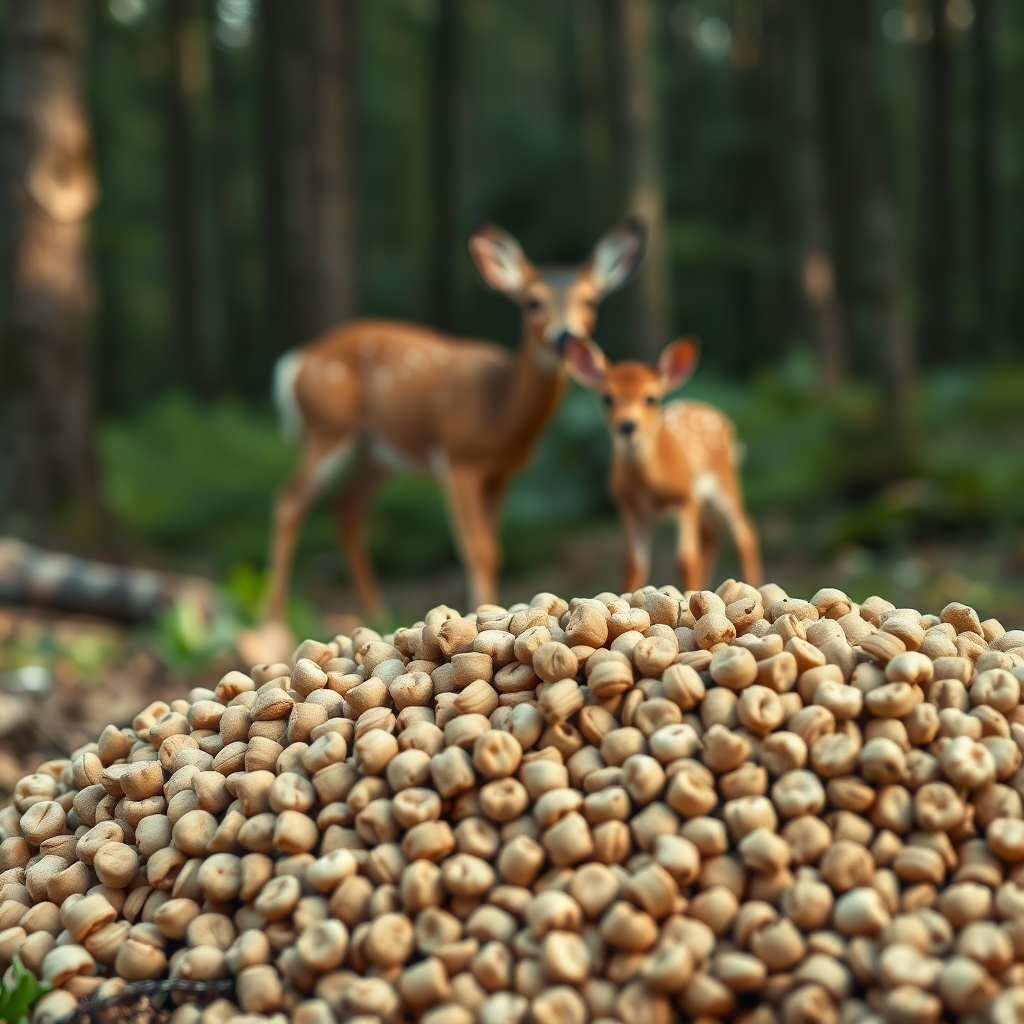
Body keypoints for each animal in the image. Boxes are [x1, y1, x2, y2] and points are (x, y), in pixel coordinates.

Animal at [262, 220, 647, 626]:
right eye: (532, 302)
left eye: (590, 301)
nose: (565, 337)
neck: (499, 406)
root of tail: (295, 363)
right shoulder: (459, 458)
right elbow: (477, 550)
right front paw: (480, 612)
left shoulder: (500, 472)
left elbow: (495, 550)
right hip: (327, 428)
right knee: (290, 501)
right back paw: (274, 620)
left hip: (375, 452)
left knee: (346, 507)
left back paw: (378, 614)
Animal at [563, 334, 762, 594]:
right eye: (607, 398)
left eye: (650, 398)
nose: (627, 426)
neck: (650, 488)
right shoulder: (629, 506)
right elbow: (633, 565)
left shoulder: (685, 499)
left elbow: (685, 561)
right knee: (712, 534)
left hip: (724, 480)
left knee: (743, 532)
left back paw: (753, 584)